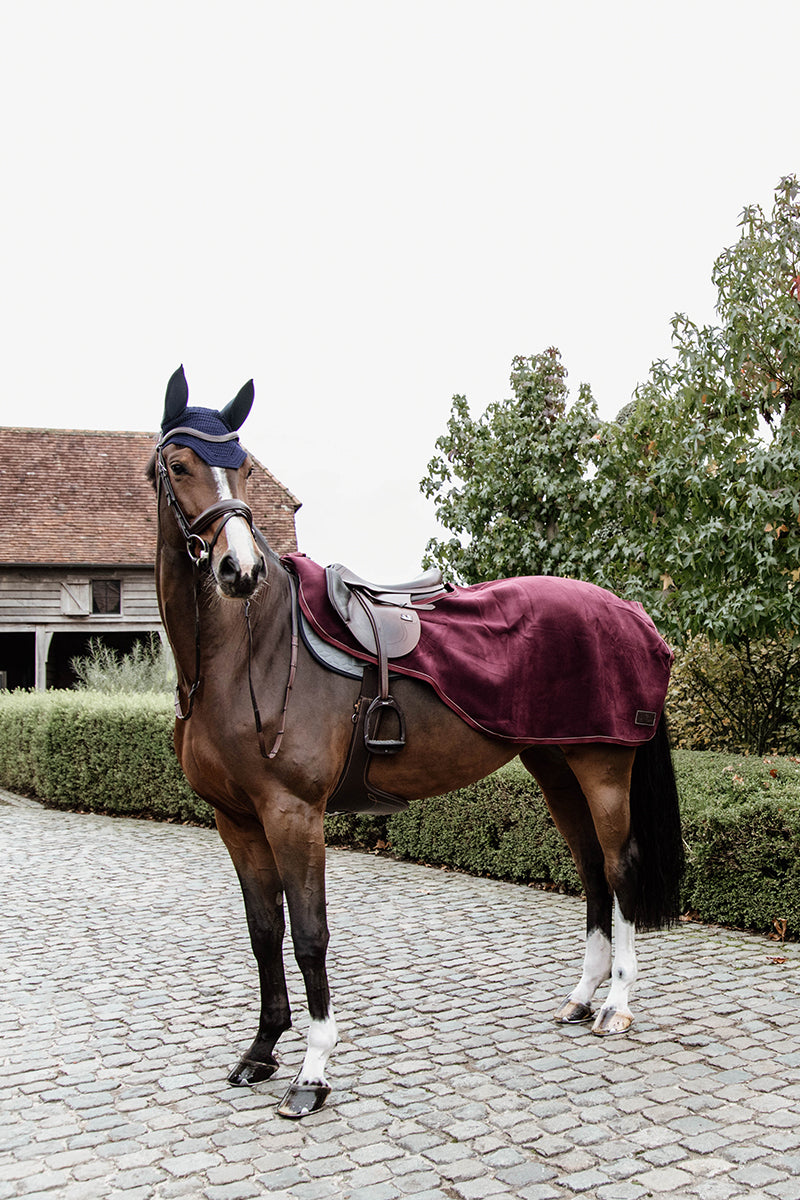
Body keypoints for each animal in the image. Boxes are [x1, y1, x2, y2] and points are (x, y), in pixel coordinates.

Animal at [151, 362, 690, 1113]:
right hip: (557, 769)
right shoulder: (236, 819)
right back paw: (582, 998)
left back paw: (616, 1006)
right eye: (179, 464)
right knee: (589, 874)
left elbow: (310, 935)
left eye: (244, 466)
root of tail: (633, 615)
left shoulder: (294, 815)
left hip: (604, 770)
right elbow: (264, 933)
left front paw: (313, 1071)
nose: (240, 571)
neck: (246, 654)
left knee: (619, 870)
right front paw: (260, 1052)